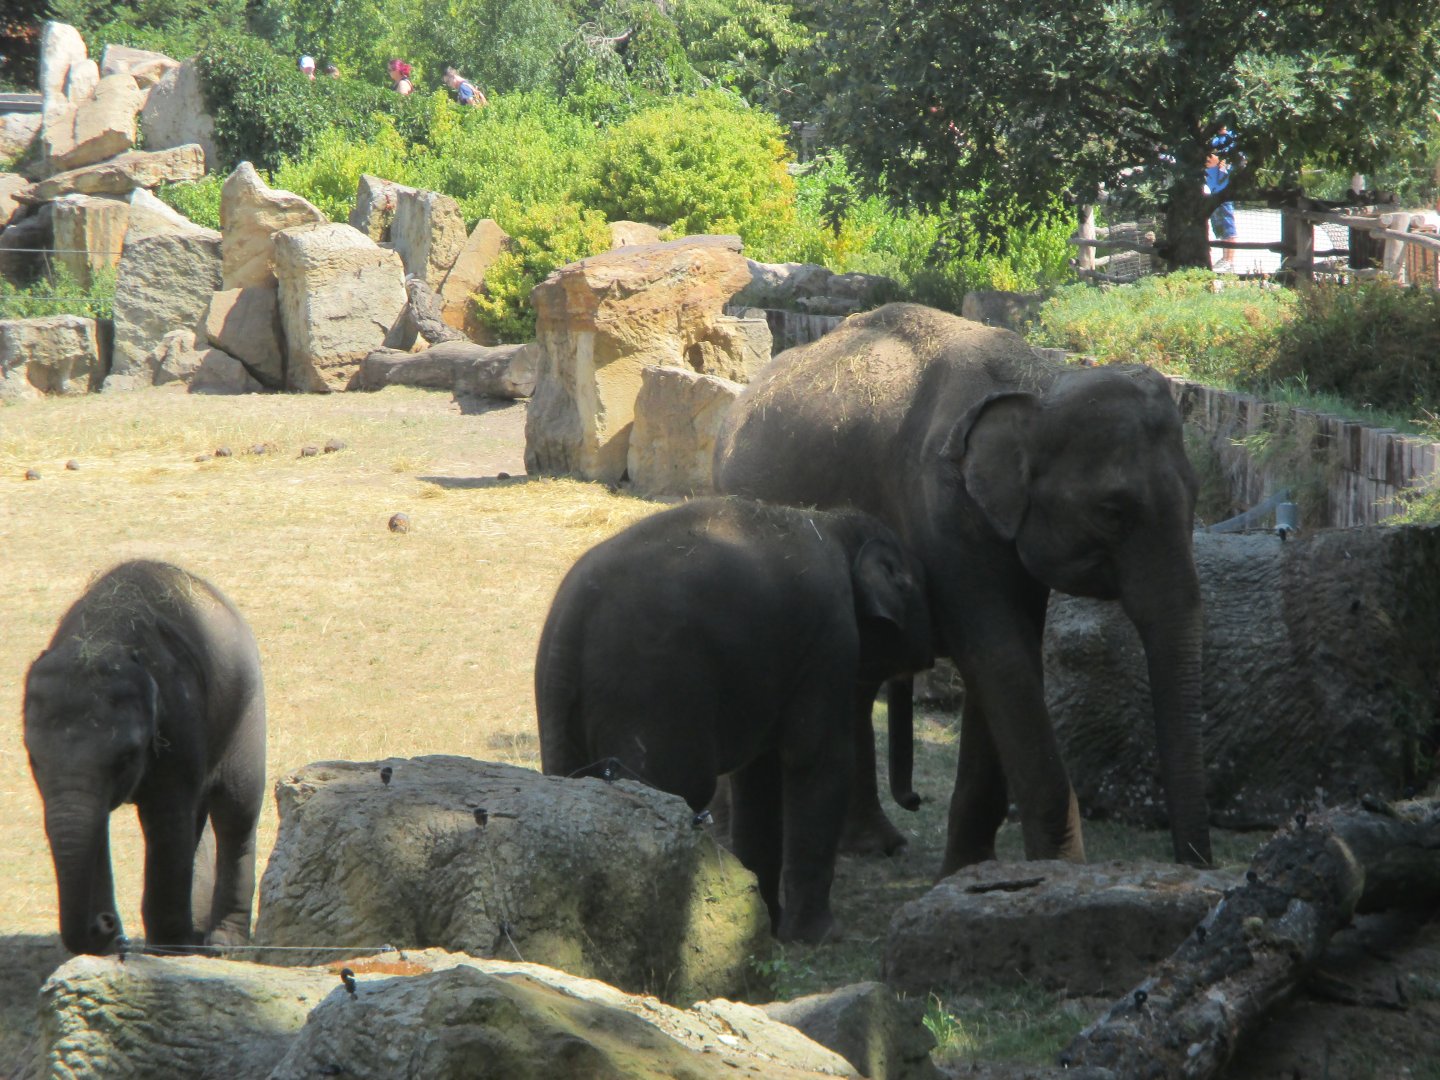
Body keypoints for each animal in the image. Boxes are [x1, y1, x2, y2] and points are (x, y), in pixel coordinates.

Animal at [23, 560, 267, 956]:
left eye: (127, 756)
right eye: (32, 759)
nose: (106, 925)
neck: (102, 637)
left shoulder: (177, 715)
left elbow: (166, 819)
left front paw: (169, 950)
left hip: (247, 707)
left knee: (236, 813)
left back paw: (221, 946)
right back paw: (197, 934)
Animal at [536, 496, 932, 943]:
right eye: (919, 589)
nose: (917, 801)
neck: (835, 524)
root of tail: (574, 617)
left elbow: (758, 773)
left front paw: (769, 924)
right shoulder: (828, 639)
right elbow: (817, 760)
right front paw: (819, 938)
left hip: (559, 702)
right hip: (650, 692)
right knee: (678, 783)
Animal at [715, 303, 1212, 874]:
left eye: (1197, 497)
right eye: (1113, 512)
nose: (1196, 868)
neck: (1037, 383)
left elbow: (1008, 663)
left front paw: (972, 874)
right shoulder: (941, 510)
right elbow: (1000, 658)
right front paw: (1054, 874)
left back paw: (875, 845)